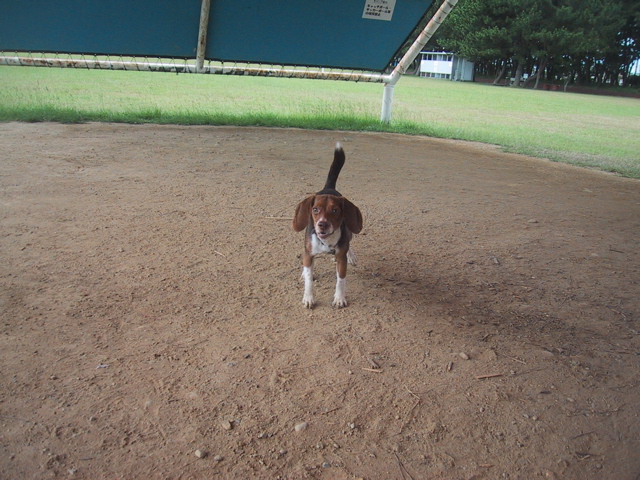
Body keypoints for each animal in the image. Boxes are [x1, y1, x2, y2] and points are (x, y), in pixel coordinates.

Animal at [292, 142, 362, 308]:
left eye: (335, 210)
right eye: (315, 210)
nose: (322, 224)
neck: (326, 242)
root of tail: (328, 187)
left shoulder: (341, 259)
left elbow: (341, 280)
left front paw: (339, 298)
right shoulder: (309, 253)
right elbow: (309, 279)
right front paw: (308, 297)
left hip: (349, 232)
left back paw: (351, 255)